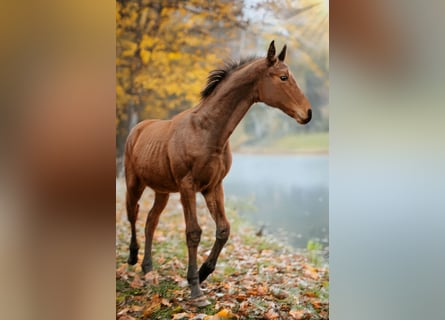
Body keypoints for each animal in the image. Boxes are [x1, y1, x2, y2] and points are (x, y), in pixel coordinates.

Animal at [123, 40, 310, 300]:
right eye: (283, 77)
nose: (308, 113)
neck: (206, 131)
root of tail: (138, 128)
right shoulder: (187, 186)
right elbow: (193, 232)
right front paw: (195, 287)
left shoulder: (213, 186)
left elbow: (223, 229)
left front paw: (203, 273)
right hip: (134, 183)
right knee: (133, 213)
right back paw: (133, 257)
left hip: (162, 190)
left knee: (151, 220)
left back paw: (148, 268)